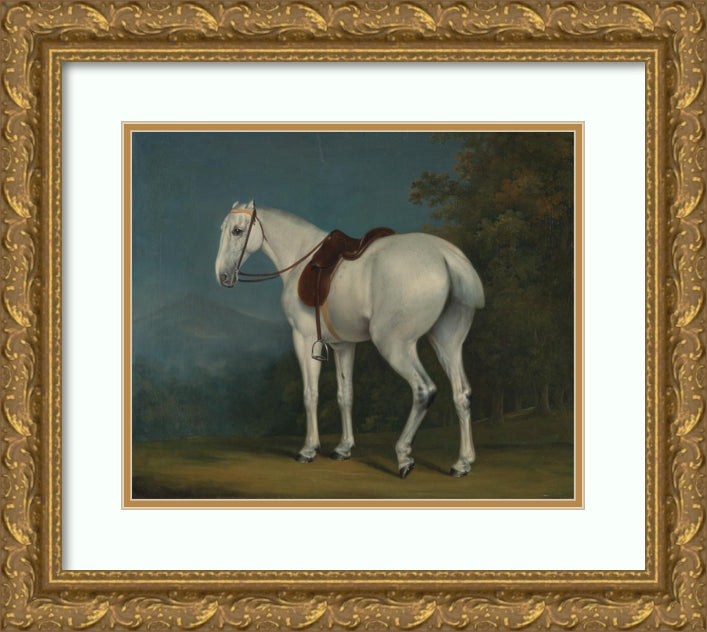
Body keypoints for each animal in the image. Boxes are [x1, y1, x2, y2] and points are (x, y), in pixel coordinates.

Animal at [214, 200, 485, 478]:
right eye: (223, 229)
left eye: (237, 231)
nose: (222, 276)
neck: (301, 258)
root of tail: (446, 256)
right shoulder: (344, 345)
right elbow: (345, 395)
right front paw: (343, 448)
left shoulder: (303, 338)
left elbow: (310, 394)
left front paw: (308, 449)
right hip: (447, 343)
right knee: (462, 394)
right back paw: (462, 463)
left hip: (396, 345)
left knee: (424, 390)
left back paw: (404, 456)